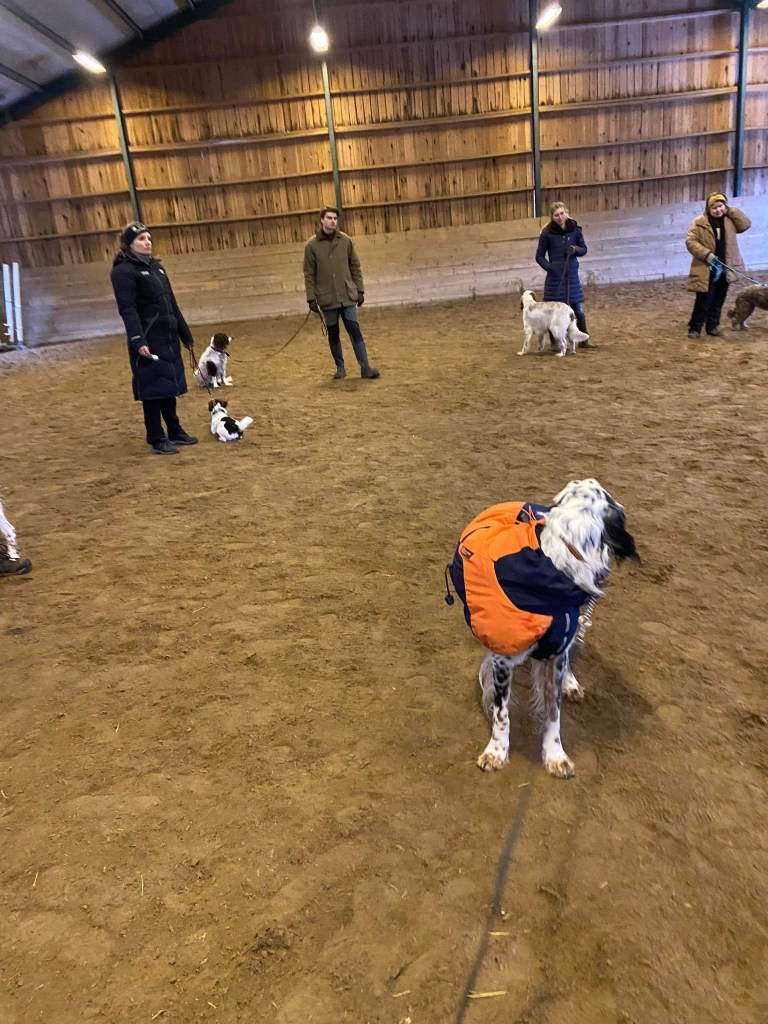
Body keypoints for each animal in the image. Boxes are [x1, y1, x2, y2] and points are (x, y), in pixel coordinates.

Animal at [447, 479, 639, 779]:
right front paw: (496, 751)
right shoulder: (503, 658)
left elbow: (553, 711)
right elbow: (501, 714)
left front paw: (555, 754)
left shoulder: (557, 648)